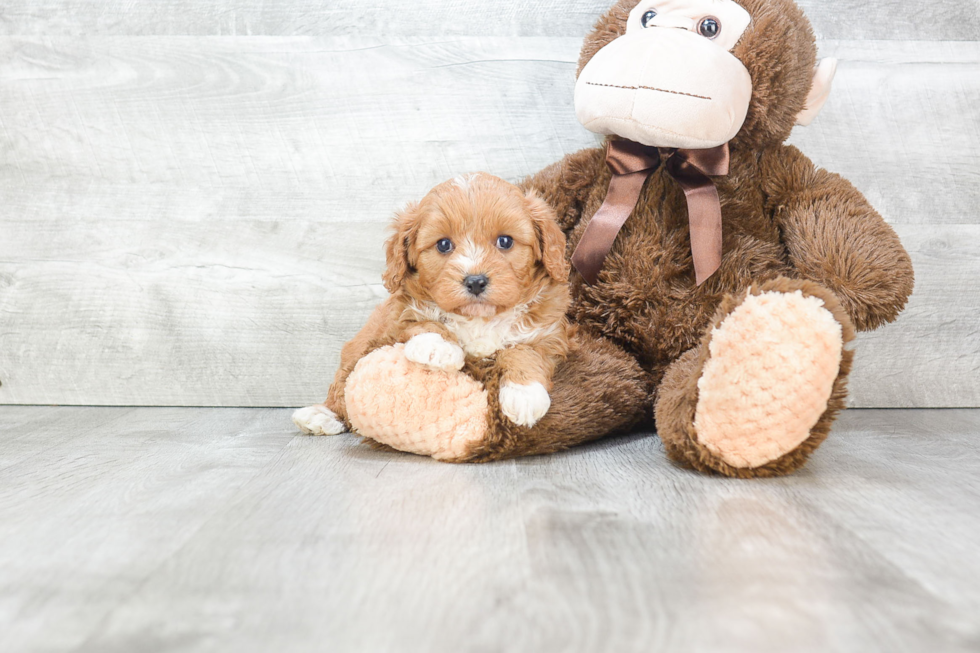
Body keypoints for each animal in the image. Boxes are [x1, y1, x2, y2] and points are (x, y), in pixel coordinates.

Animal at [290, 171, 572, 436]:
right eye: (444, 244)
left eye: (505, 241)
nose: (476, 281)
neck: (478, 319)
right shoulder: (395, 319)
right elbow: (423, 323)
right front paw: (438, 347)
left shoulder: (549, 336)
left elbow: (525, 351)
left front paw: (525, 393)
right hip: (359, 344)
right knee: (342, 380)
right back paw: (321, 415)